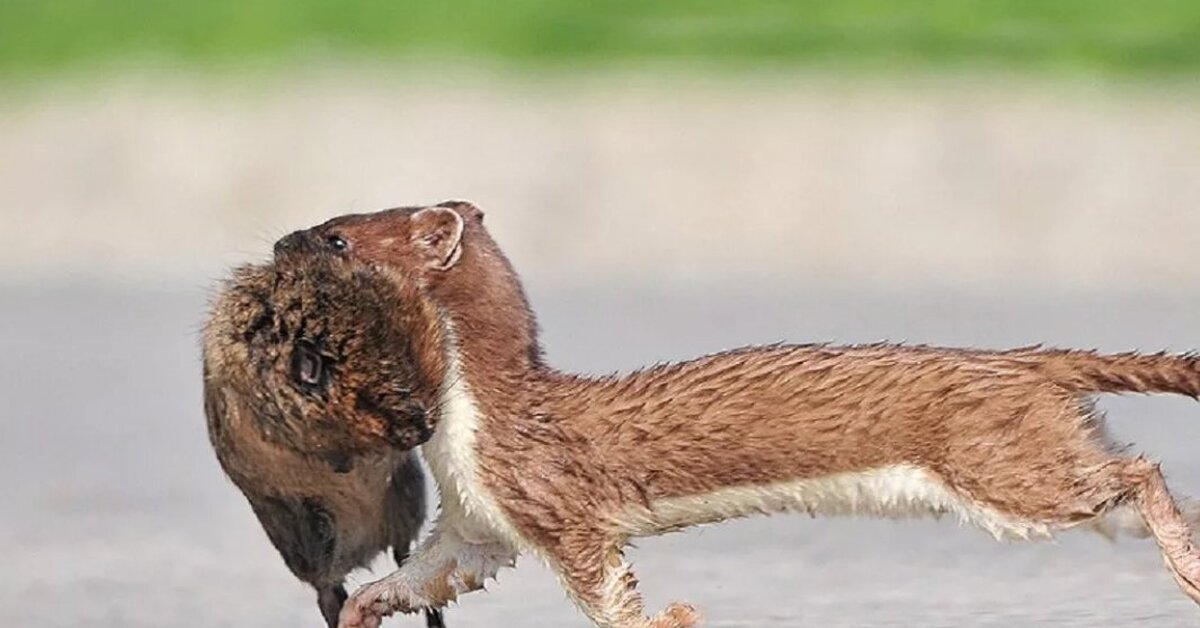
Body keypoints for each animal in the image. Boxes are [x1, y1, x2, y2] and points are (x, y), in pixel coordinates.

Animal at [201, 253, 451, 624]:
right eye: (378, 401)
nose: (422, 430)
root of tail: (364, 548)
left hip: (404, 496)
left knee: (402, 555)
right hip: (311, 536)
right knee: (329, 590)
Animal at [276, 202, 1200, 628]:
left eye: (338, 237)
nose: (284, 238)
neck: (465, 436)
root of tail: (1024, 357)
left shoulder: (552, 500)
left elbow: (605, 588)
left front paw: (666, 617)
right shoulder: (477, 523)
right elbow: (426, 573)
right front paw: (360, 610)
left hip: (1004, 466)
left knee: (1136, 471)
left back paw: (1188, 567)